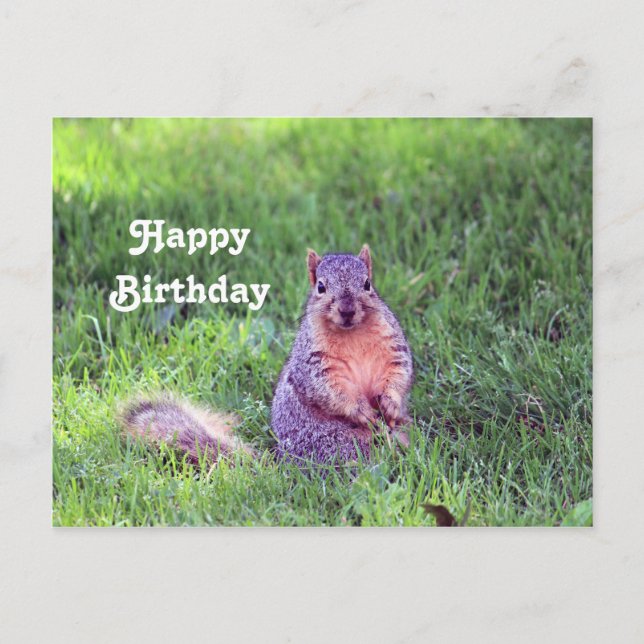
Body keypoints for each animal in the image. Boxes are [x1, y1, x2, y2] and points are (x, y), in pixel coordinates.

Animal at [120, 244, 414, 465]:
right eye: (320, 287)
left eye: (367, 283)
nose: (347, 310)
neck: (352, 334)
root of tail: (285, 465)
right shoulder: (314, 362)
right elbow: (329, 390)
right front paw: (362, 411)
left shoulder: (392, 347)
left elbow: (399, 371)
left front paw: (391, 404)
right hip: (340, 444)